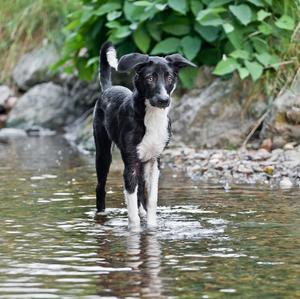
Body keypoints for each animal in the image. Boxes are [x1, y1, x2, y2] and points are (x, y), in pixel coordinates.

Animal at [94, 42, 196, 230]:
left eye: (169, 78)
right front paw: (135, 230)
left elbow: (152, 199)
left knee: (141, 189)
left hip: (142, 162)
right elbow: (131, 206)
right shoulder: (130, 164)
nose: (164, 100)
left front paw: (152, 226)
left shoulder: (155, 161)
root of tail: (109, 88)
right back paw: (101, 215)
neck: (152, 116)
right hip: (103, 154)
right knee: (100, 187)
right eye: (149, 78)